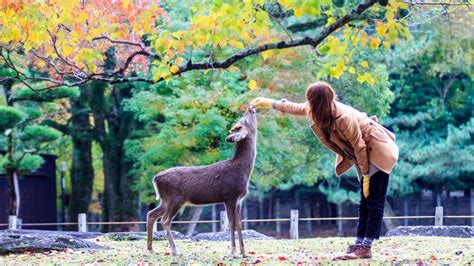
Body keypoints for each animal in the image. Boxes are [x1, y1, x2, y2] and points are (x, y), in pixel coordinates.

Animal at [146, 106, 258, 258]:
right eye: (243, 120)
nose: (250, 108)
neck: (242, 170)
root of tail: (155, 178)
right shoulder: (230, 195)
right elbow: (232, 223)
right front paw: (234, 253)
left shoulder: (239, 199)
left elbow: (240, 223)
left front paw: (244, 253)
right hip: (176, 198)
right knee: (165, 220)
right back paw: (174, 251)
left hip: (165, 200)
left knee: (151, 214)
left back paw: (150, 248)